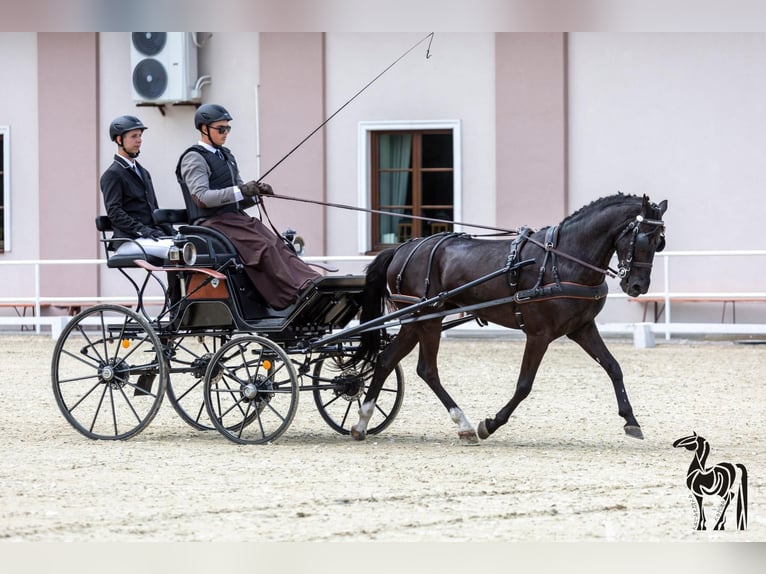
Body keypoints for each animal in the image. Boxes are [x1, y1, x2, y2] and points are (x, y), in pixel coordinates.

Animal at [349, 193, 667, 443]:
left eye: (659, 242)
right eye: (643, 238)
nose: (638, 286)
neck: (563, 259)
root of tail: (403, 248)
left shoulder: (582, 328)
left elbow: (614, 368)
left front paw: (631, 420)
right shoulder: (539, 334)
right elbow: (524, 384)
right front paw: (491, 423)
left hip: (418, 321)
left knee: (387, 360)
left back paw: (363, 422)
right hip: (426, 318)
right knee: (427, 369)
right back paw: (463, 423)